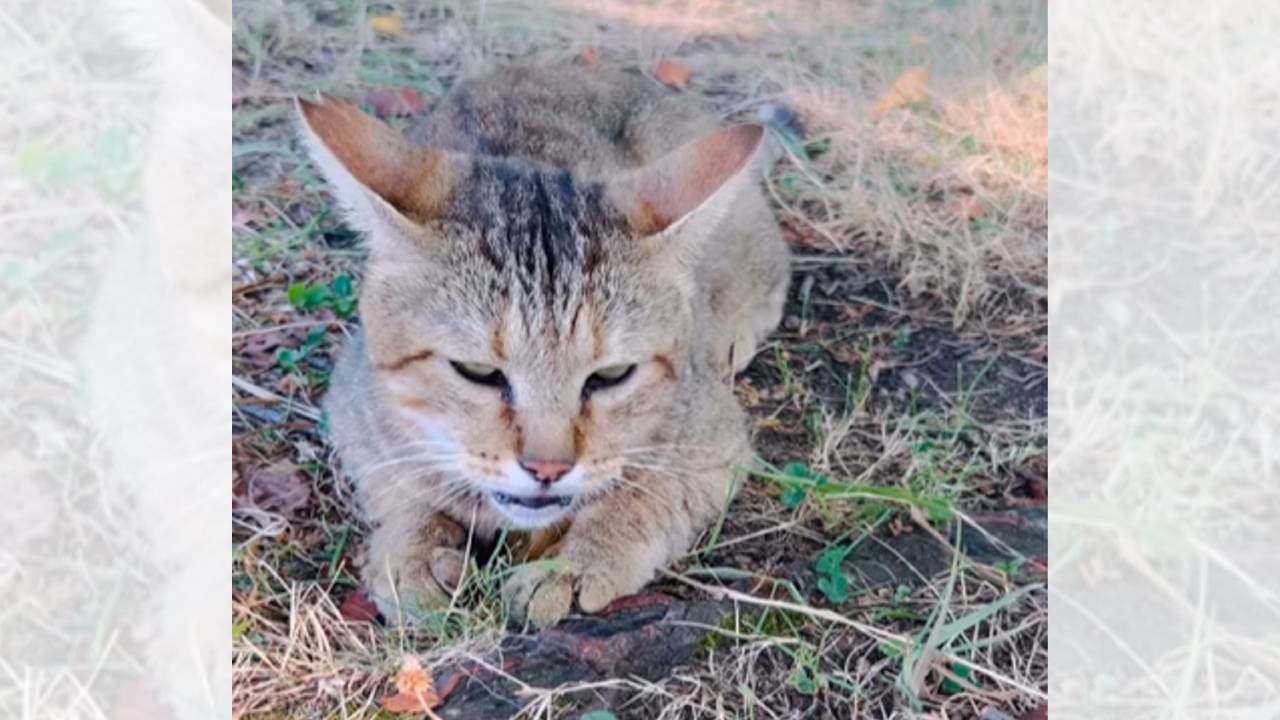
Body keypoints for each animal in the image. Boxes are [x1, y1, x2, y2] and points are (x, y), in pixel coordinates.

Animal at [300, 63, 793, 622]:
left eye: (611, 376)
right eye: (477, 372)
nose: (548, 469)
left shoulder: (713, 442)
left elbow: (644, 493)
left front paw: (577, 563)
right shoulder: (351, 410)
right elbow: (399, 482)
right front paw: (414, 548)